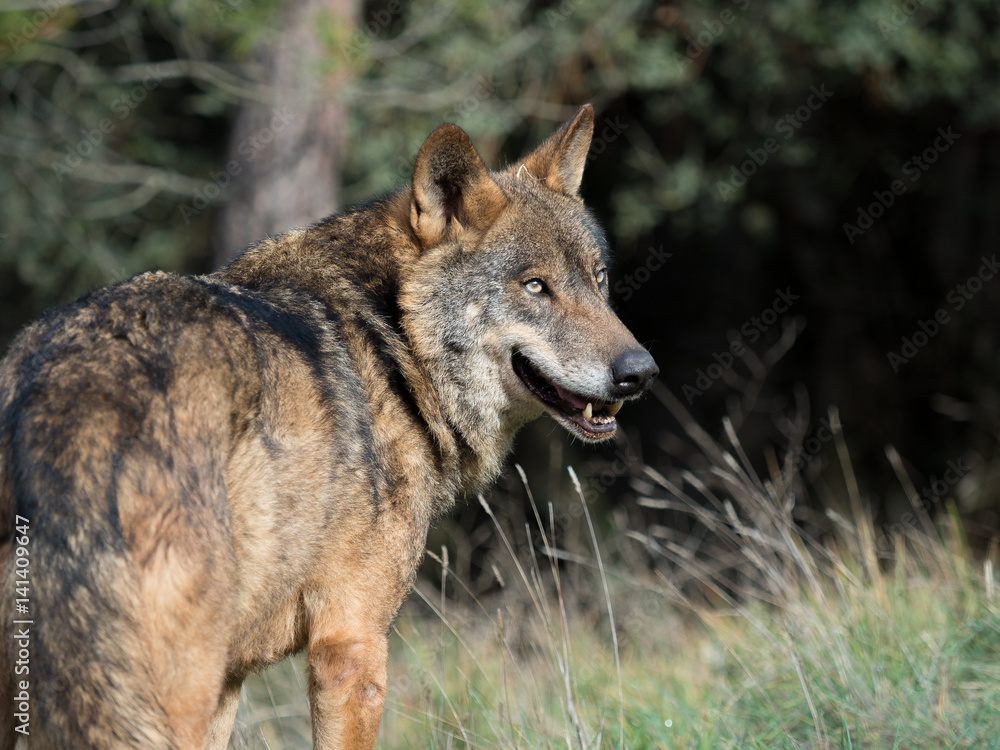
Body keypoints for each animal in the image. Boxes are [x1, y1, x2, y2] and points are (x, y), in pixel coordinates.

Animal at [0, 104, 656, 749]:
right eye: (535, 286)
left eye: (599, 279)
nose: (640, 372)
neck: (394, 344)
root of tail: (63, 394)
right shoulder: (351, 646)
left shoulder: (234, 680)